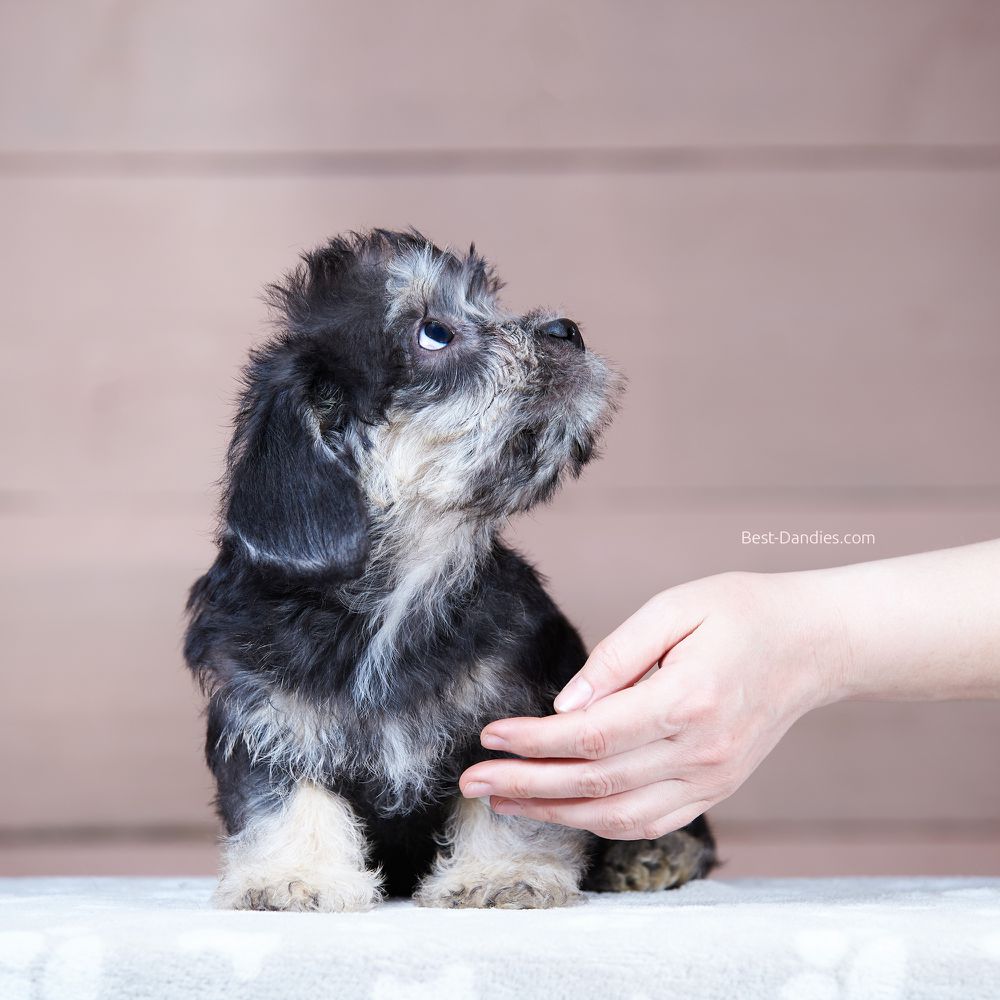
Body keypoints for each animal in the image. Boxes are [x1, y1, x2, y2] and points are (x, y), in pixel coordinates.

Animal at [184, 230, 716, 912]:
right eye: (433, 333)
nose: (568, 331)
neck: (403, 586)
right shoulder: (265, 721)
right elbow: (284, 799)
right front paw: (294, 876)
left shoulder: (512, 719)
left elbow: (506, 807)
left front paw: (500, 874)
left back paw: (653, 854)